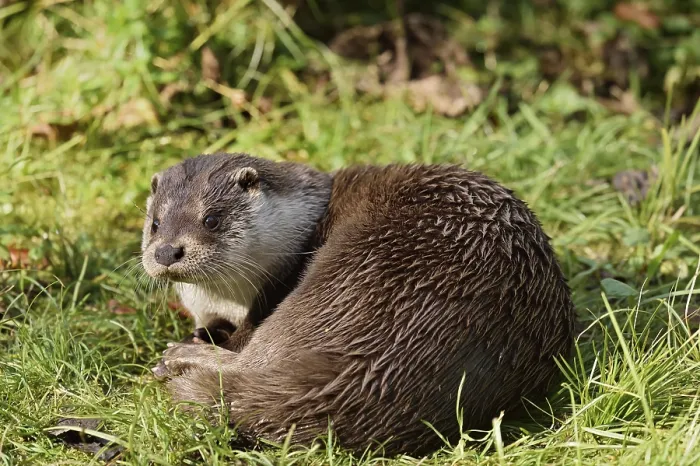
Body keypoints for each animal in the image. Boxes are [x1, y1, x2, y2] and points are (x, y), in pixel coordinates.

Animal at [141, 152, 574, 456]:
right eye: (155, 223)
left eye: (211, 219)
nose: (165, 251)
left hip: (346, 274)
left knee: (254, 358)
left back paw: (177, 359)